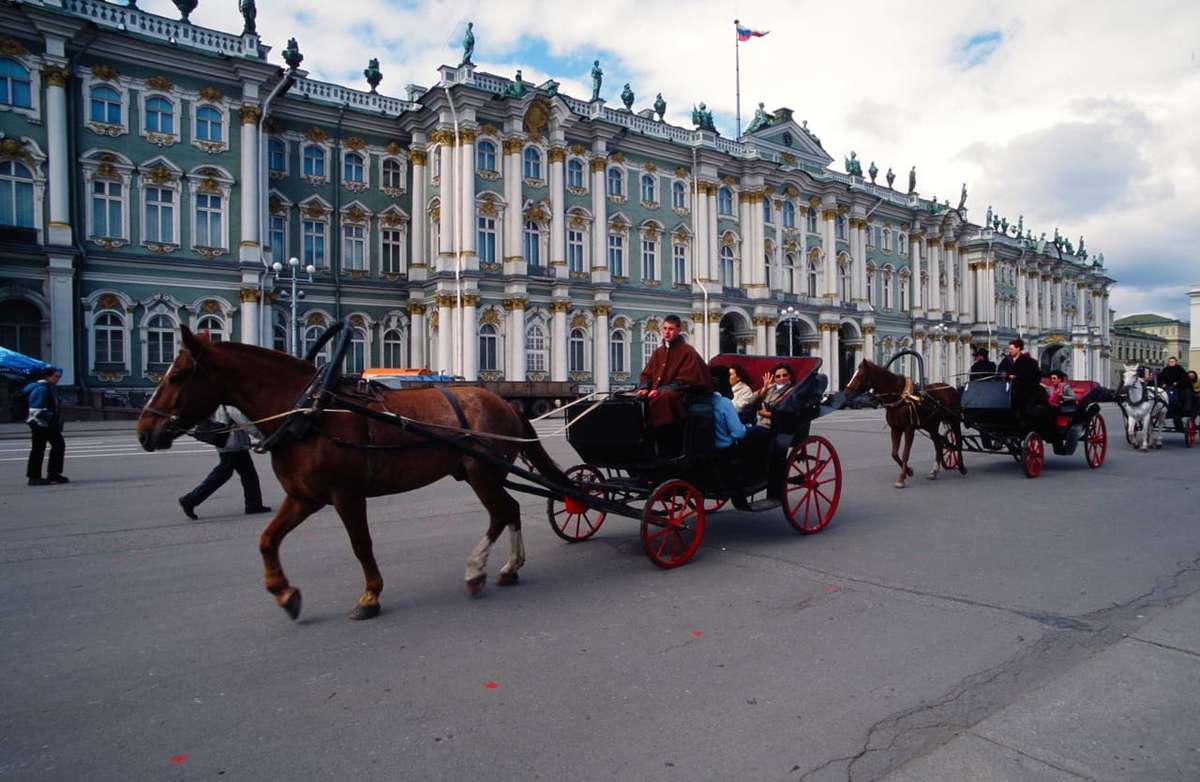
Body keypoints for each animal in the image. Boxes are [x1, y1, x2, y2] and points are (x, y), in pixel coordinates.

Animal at [138, 326, 568, 618]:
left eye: (177, 375)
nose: (144, 431)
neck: (309, 411)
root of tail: (504, 403)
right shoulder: (303, 496)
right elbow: (267, 539)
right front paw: (285, 593)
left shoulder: (346, 494)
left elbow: (361, 544)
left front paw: (370, 596)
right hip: (479, 474)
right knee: (509, 511)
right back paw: (505, 569)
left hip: (482, 473)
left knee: (502, 512)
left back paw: (478, 570)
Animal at [844, 359, 964, 489]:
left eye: (861, 375)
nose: (846, 392)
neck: (899, 397)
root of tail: (950, 388)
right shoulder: (895, 429)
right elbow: (894, 454)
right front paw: (909, 471)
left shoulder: (909, 429)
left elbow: (905, 453)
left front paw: (901, 479)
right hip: (931, 426)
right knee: (938, 444)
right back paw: (934, 472)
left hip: (954, 420)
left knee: (958, 440)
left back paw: (962, 467)